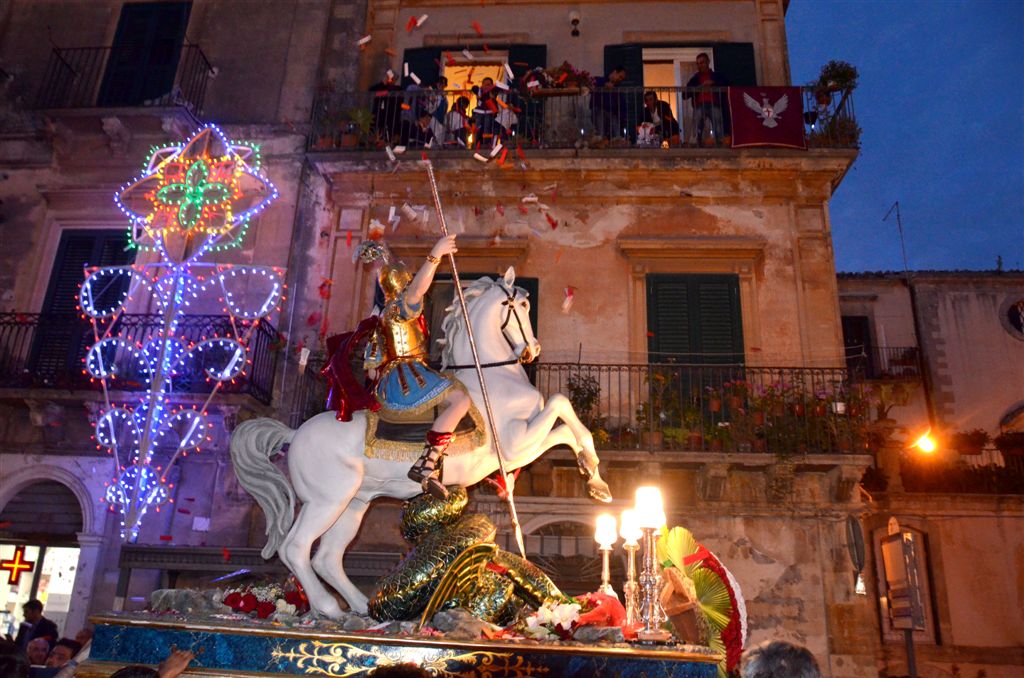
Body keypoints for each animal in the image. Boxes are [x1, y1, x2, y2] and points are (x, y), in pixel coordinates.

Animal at [232, 268, 610, 618]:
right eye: (515, 305)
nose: (532, 351)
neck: (491, 377)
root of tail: (294, 434)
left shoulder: (520, 447)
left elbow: (563, 417)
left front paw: (592, 478)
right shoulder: (515, 444)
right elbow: (561, 407)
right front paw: (594, 474)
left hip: (354, 503)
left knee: (327, 556)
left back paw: (360, 608)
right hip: (326, 501)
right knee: (296, 548)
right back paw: (329, 608)